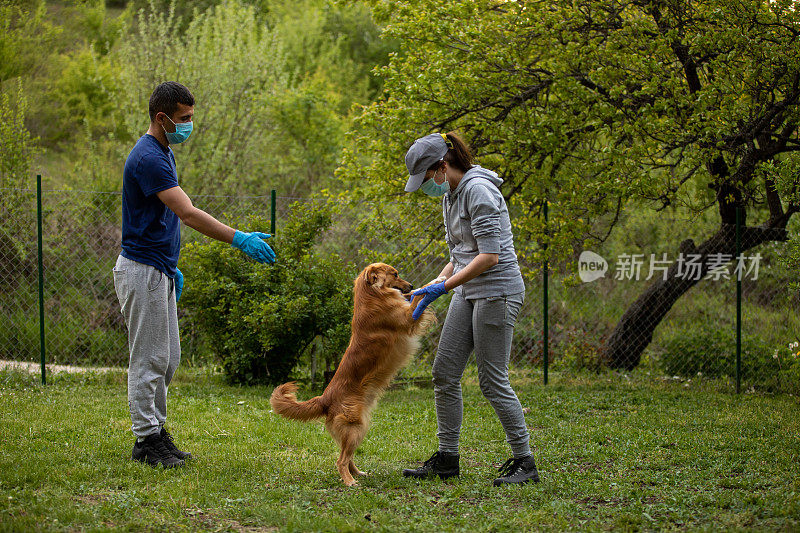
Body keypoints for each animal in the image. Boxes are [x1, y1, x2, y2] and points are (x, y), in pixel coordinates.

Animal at [268, 262, 434, 486]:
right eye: (395, 274)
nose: (411, 285)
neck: (371, 295)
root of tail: (324, 398)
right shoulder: (407, 318)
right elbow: (417, 300)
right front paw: (433, 284)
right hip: (354, 427)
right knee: (341, 460)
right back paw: (349, 481)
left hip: (357, 430)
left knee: (348, 457)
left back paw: (358, 474)